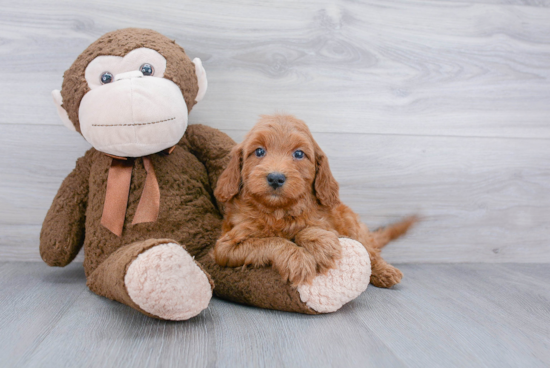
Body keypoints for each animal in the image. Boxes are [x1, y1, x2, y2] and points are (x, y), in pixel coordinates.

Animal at [213, 114, 416, 288]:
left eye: (299, 154)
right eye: (259, 151)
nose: (276, 178)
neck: (278, 211)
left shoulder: (329, 224)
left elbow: (310, 227)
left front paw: (321, 244)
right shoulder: (226, 247)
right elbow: (268, 241)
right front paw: (298, 259)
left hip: (351, 223)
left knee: (370, 249)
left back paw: (385, 271)